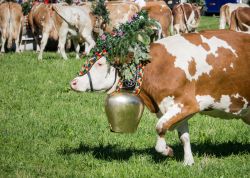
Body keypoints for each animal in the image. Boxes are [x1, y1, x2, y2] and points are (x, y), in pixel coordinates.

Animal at [70, 30, 250, 165]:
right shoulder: (173, 107)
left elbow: (160, 126)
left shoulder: (188, 104)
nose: (74, 82)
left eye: (100, 64)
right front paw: (188, 162)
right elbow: (184, 136)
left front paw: (166, 150)